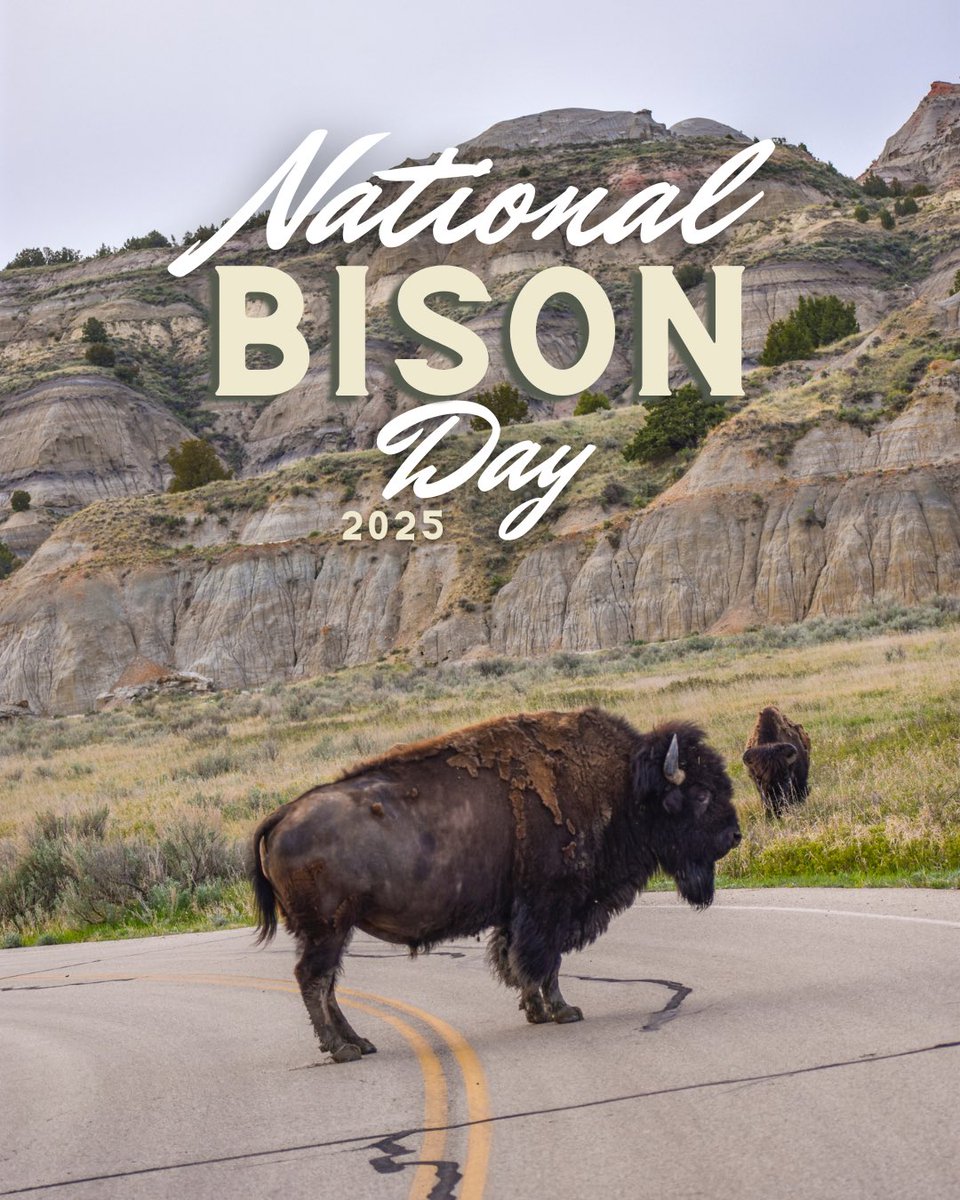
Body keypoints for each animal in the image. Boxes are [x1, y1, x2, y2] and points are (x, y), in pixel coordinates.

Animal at [249, 707, 740, 1063]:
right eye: (700, 793)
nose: (733, 836)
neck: (621, 785)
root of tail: (282, 814)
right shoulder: (550, 905)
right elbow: (545, 961)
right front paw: (563, 1011)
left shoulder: (518, 912)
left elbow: (517, 959)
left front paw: (536, 1011)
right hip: (327, 929)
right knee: (313, 979)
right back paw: (343, 1049)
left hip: (332, 931)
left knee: (326, 982)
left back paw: (360, 1042)